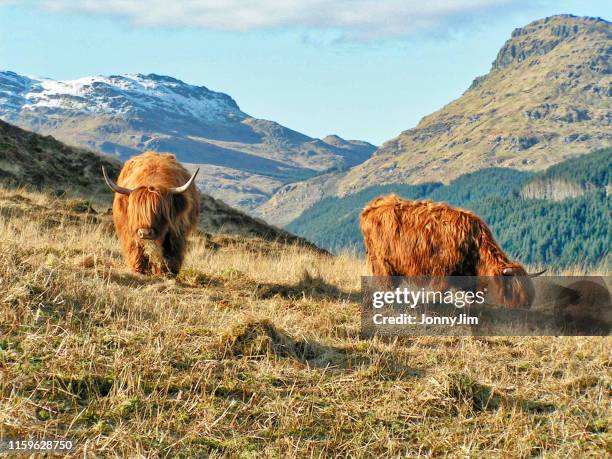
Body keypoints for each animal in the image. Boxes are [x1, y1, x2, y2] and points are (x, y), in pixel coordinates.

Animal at [358, 195, 544, 310]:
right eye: (515, 289)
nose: (526, 305)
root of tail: (372, 206)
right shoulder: (442, 271)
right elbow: (438, 292)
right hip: (382, 261)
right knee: (386, 283)